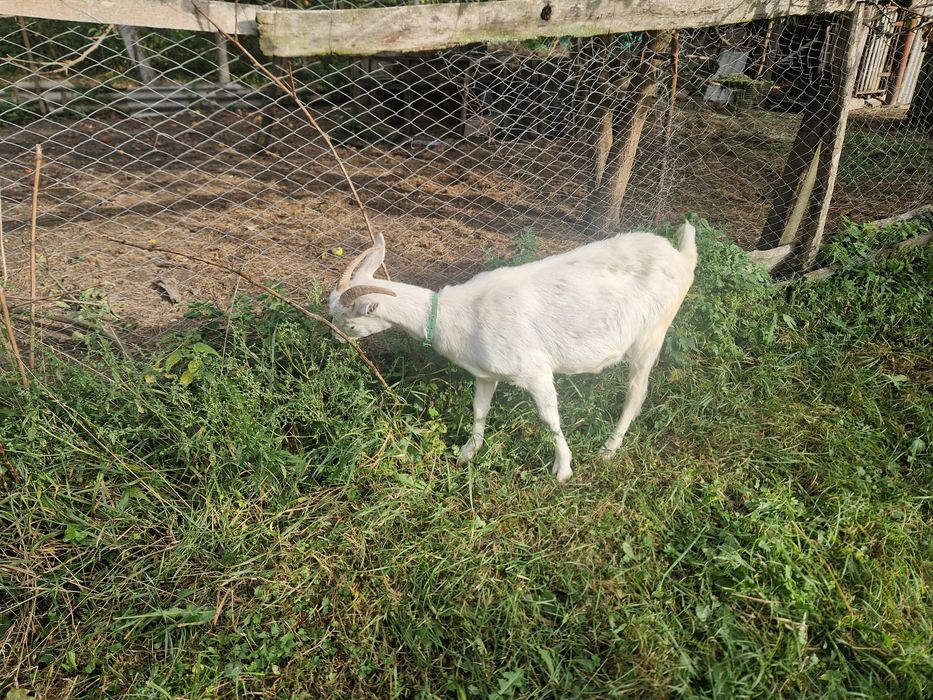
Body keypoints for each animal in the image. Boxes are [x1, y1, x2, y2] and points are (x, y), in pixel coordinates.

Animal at [329, 221, 697, 482]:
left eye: (349, 322)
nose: (335, 339)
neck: (454, 315)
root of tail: (682, 257)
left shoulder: (534, 370)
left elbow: (549, 417)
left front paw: (563, 470)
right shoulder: (485, 372)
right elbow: (480, 409)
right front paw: (467, 452)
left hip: (651, 334)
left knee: (636, 393)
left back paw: (609, 448)